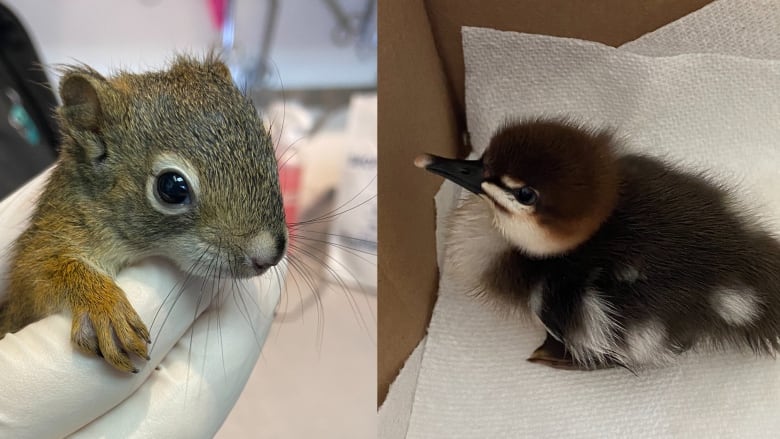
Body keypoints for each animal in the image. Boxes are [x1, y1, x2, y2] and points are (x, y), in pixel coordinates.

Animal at [0, 53, 288, 372]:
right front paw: (103, 305)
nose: (269, 256)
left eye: (267, 145)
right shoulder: (42, 250)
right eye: (172, 187)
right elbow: (37, 275)